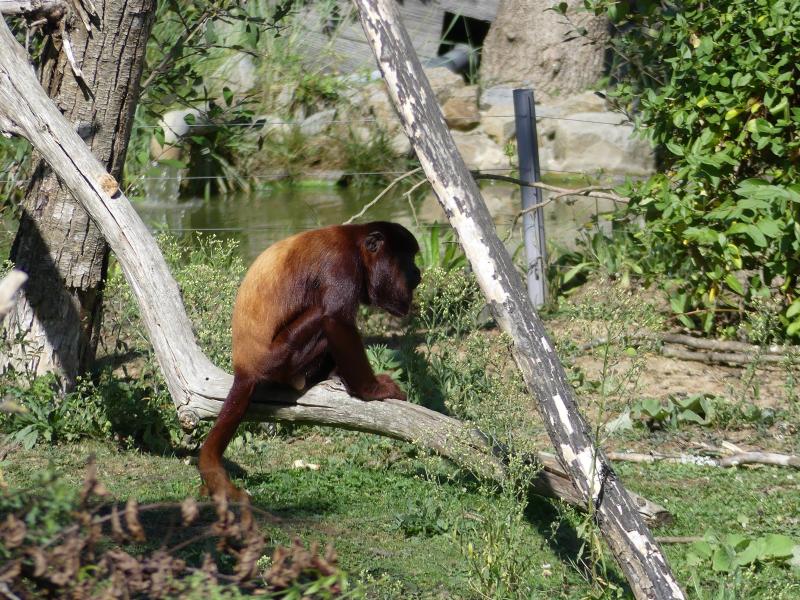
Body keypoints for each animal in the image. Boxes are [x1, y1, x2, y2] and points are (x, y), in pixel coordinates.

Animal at [198, 221, 421, 500]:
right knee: (320, 313)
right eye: (406, 259)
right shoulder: (342, 265)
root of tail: (244, 368)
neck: (355, 243)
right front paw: (372, 391)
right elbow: (336, 320)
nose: (418, 272)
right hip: (282, 359)